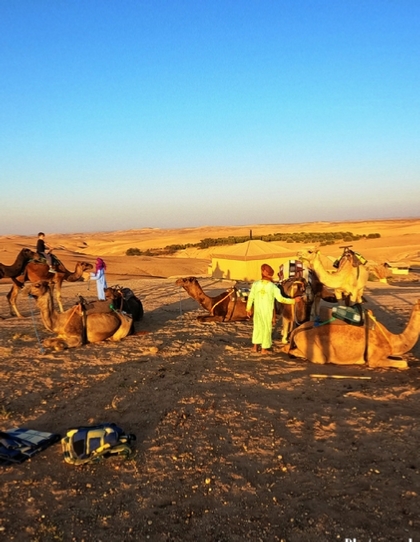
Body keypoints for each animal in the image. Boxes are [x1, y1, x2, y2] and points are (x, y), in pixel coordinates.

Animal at [282, 300, 420, 372]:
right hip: (314, 350)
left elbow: (401, 359)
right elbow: (404, 363)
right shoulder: (374, 359)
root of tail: (297, 329)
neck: (391, 339)